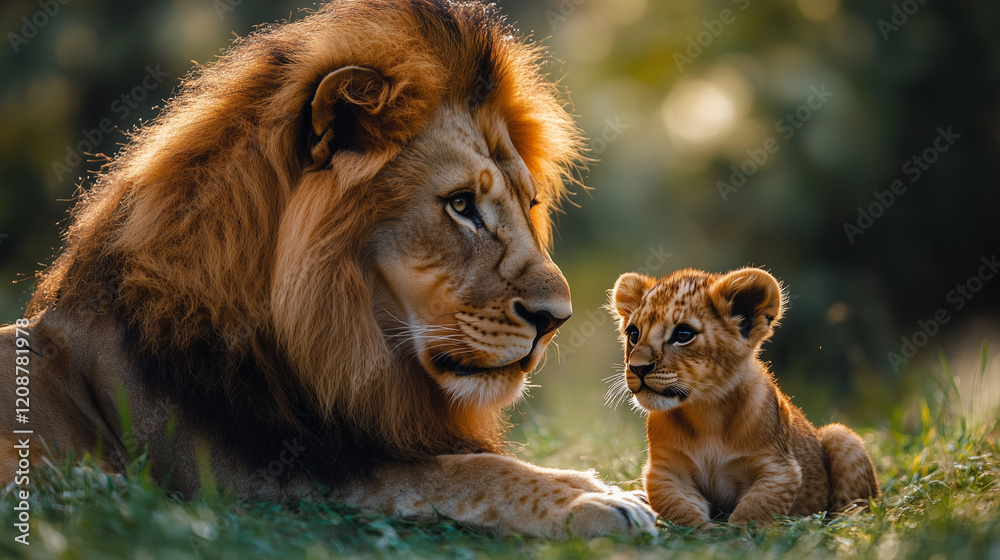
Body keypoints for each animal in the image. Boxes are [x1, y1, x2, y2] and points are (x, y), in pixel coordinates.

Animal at [0, 0, 656, 539]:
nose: (557, 320)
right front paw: (598, 502)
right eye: (461, 204)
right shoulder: (248, 476)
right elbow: (456, 474)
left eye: (529, 204)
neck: (339, 340)